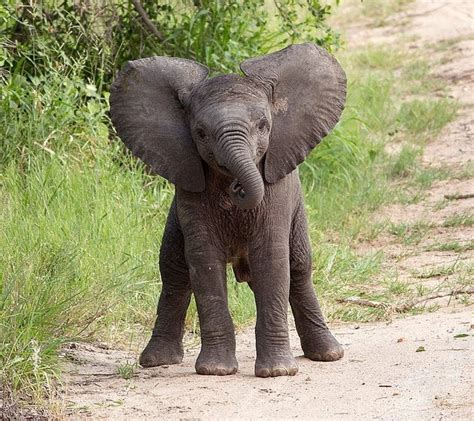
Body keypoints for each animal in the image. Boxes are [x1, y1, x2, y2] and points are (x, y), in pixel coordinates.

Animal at [111, 43, 348, 378]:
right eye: (200, 133)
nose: (237, 186)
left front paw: (276, 372)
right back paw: (157, 361)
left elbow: (272, 259)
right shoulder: (189, 185)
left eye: (263, 126)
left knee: (300, 268)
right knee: (174, 271)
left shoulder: (276, 187)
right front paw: (216, 370)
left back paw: (327, 354)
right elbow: (203, 261)